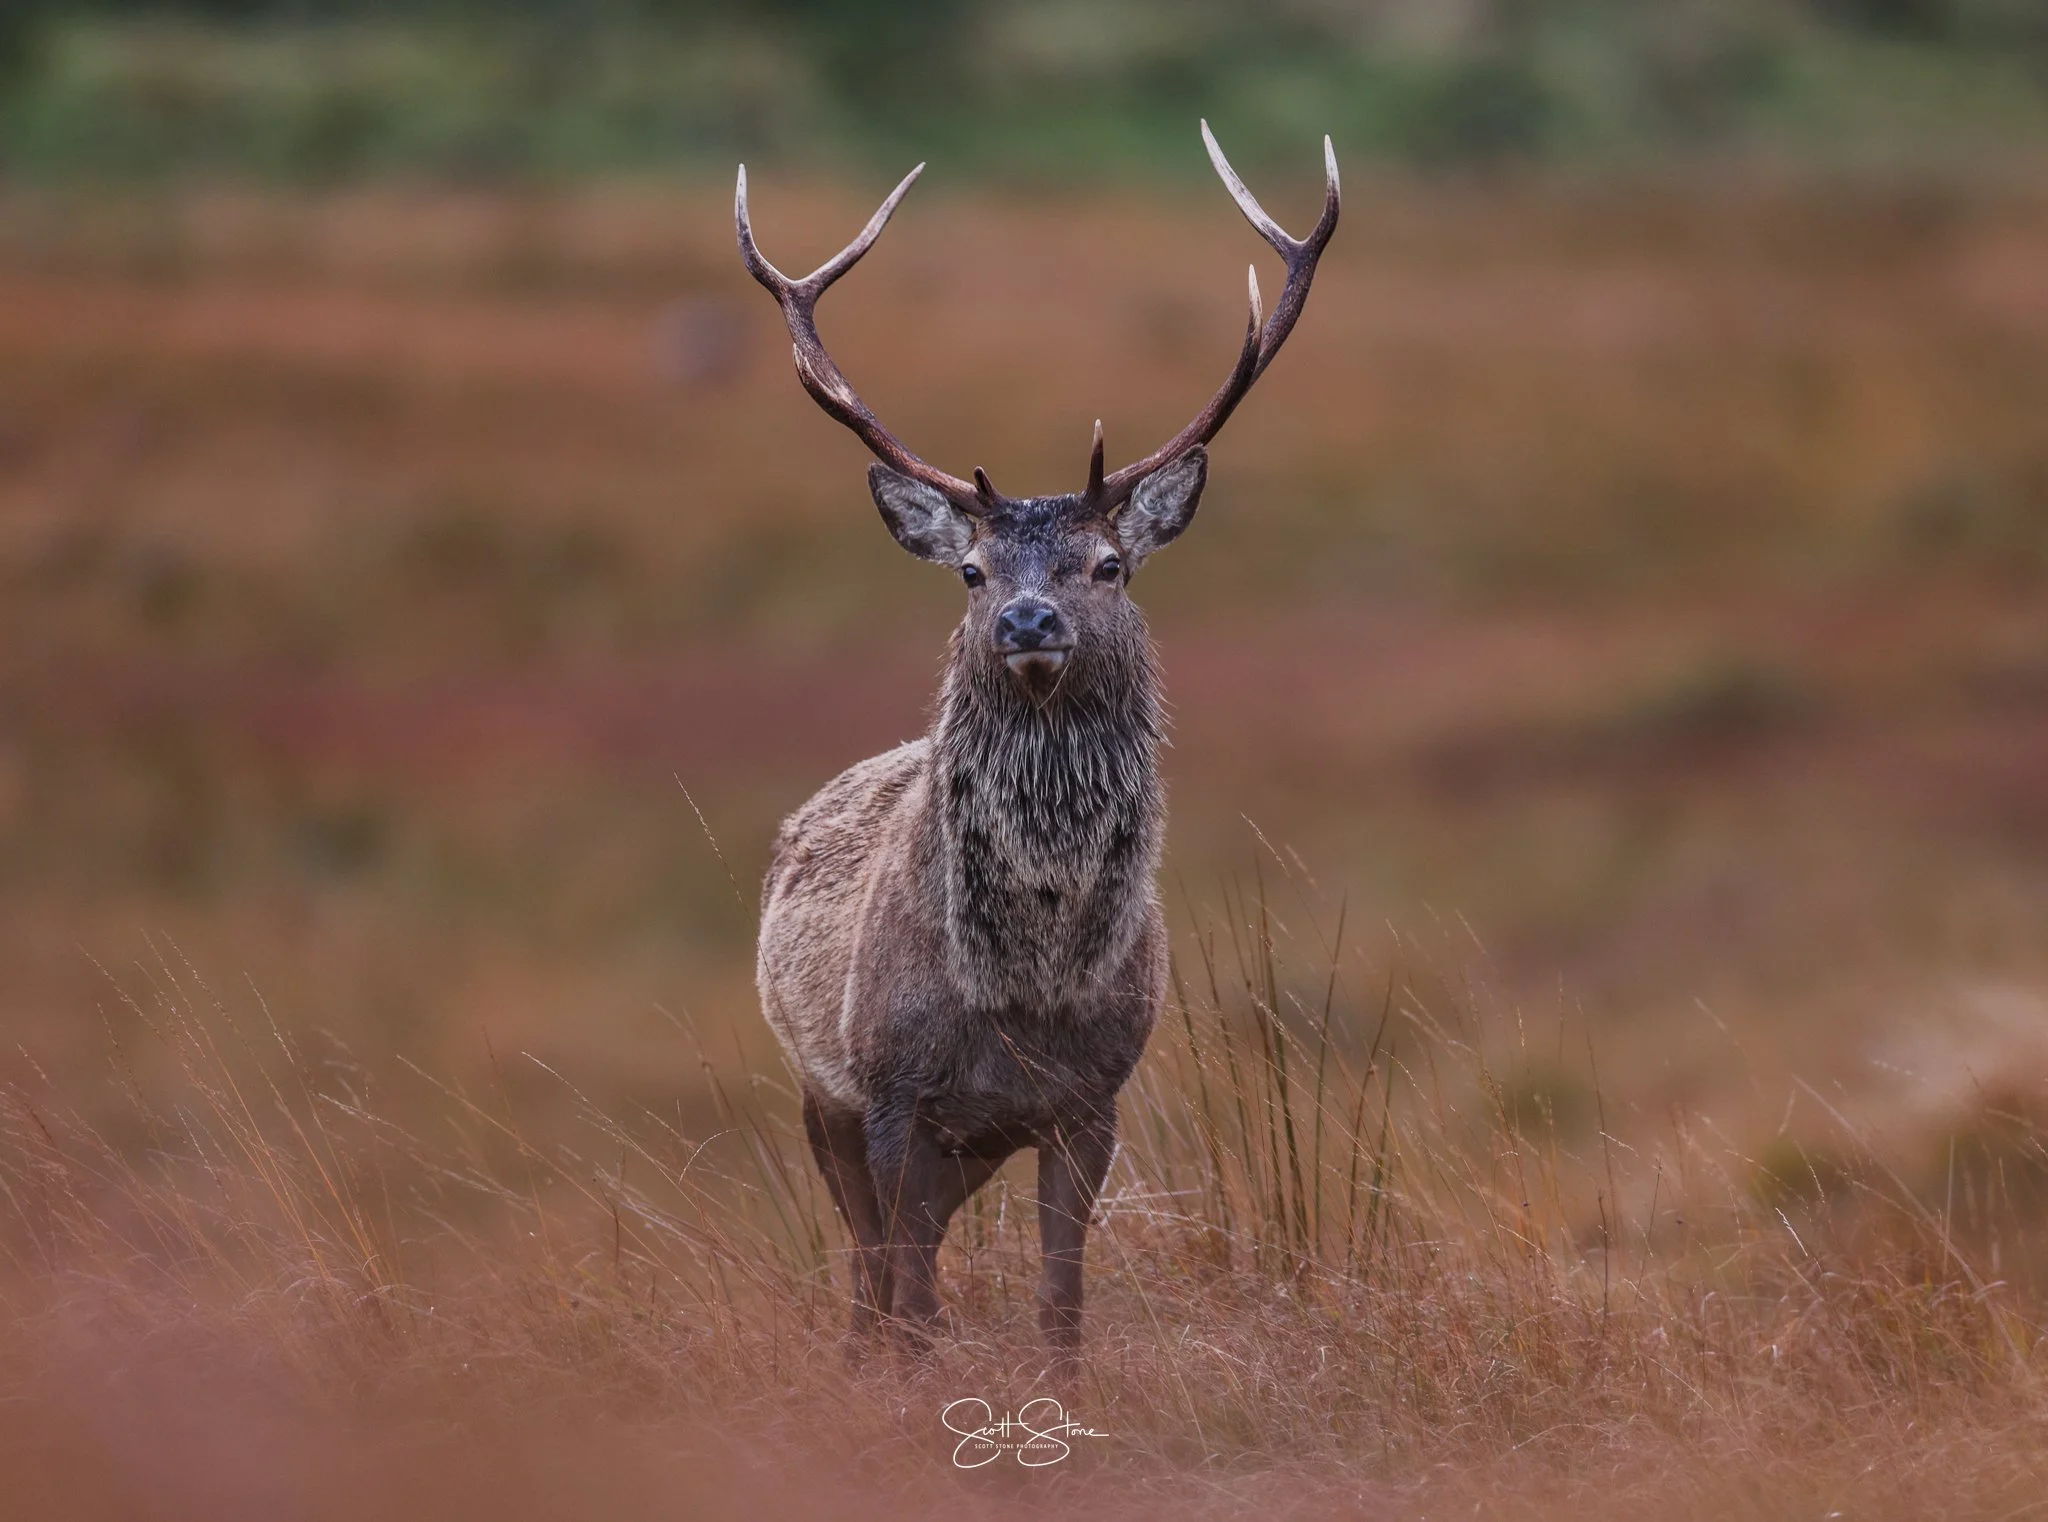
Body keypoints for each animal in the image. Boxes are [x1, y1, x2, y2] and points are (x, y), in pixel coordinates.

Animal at [740, 123, 1339, 1365]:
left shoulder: (1088, 1102)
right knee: (865, 1268)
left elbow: (1060, 1302)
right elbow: (911, 1294)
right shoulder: (891, 1091)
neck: (1019, 995)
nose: (1026, 619)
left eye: (1107, 564)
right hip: (816, 1087)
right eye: (971, 571)